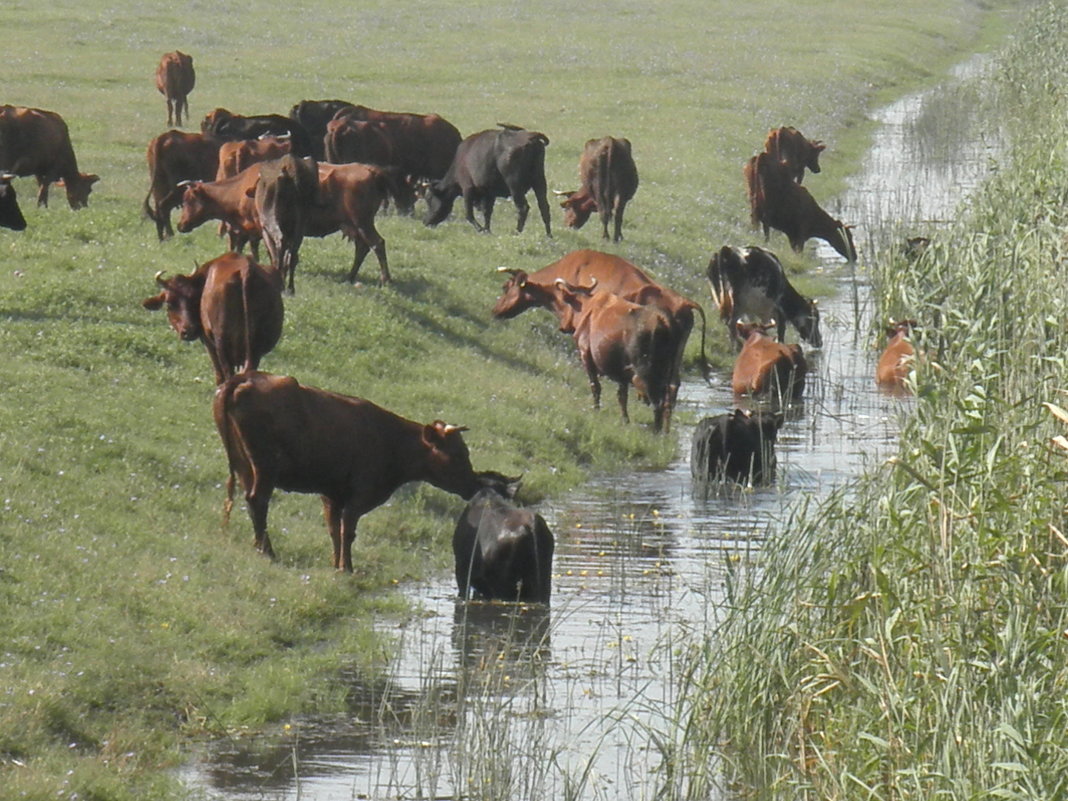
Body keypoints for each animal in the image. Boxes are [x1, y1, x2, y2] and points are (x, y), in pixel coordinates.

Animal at [142, 254, 286, 386]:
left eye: (194, 299)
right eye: (170, 303)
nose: (189, 331)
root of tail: (245, 271)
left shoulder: (209, 344)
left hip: (222, 345)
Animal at [211, 369, 491, 572]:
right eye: (459, 454)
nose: (475, 484)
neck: (393, 441)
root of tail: (245, 377)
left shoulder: (331, 494)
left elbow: (334, 529)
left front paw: (337, 565)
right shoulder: (358, 496)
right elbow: (348, 531)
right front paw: (347, 568)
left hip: (244, 465)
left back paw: (259, 545)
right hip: (265, 465)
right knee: (258, 501)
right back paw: (267, 550)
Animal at [422, 125, 551, 237]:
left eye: (429, 199)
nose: (425, 222)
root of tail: (529, 136)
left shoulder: (467, 188)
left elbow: (469, 214)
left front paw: (481, 229)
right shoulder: (489, 192)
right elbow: (487, 212)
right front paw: (487, 230)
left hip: (514, 184)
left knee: (523, 207)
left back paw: (516, 232)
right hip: (539, 181)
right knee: (544, 208)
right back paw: (549, 236)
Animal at [551, 279, 674, 433]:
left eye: (566, 302)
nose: (562, 326)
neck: (588, 308)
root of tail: (660, 321)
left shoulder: (587, 356)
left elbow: (595, 387)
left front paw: (596, 410)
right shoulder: (622, 373)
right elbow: (622, 396)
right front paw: (625, 420)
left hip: (645, 374)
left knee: (657, 403)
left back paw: (656, 431)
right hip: (664, 373)